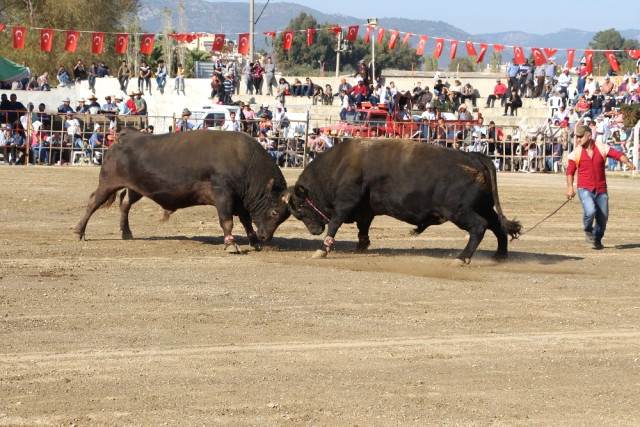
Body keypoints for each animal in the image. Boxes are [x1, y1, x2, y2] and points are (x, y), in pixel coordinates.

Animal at [73, 129, 290, 252]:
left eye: (284, 216)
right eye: (274, 212)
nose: (266, 236)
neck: (244, 161)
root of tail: (123, 138)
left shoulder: (241, 201)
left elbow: (246, 221)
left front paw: (254, 241)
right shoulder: (223, 195)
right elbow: (227, 221)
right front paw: (230, 244)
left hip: (137, 188)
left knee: (125, 204)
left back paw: (126, 232)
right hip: (107, 183)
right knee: (93, 202)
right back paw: (78, 232)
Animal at [288, 139, 524, 262]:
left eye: (299, 206)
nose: (314, 231)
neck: (339, 165)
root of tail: (476, 157)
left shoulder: (346, 201)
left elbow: (335, 224)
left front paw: (322, 248)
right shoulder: (365, 210)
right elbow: (363, 227)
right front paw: (362, 245)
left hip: (459, 211)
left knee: (479, 227)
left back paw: (462, 258)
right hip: (483, 207)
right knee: (498, 226)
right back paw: (500, 255)